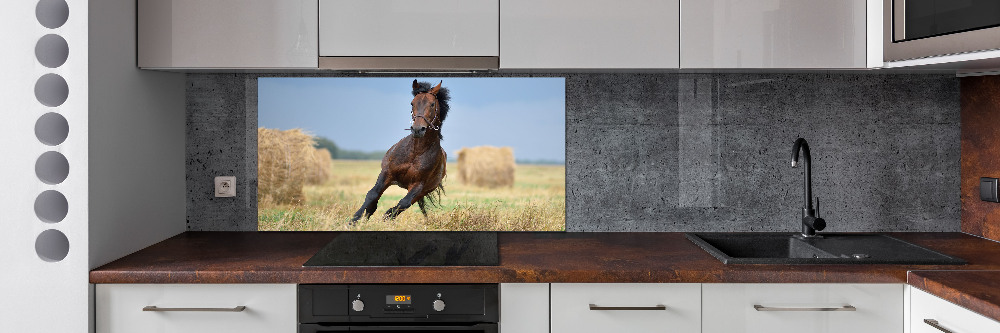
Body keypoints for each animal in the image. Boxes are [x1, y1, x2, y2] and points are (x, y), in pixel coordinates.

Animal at [350, 79, 448, 222]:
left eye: (432, 104)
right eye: (412, 103)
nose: (418, 129)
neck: (416, 152)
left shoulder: (418, 185)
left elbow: (403, 203)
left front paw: (386, 217)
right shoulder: (387, 173)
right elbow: (372, 194)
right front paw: (354, 221)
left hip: (422, 191)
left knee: (406, 204)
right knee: (375, 202)